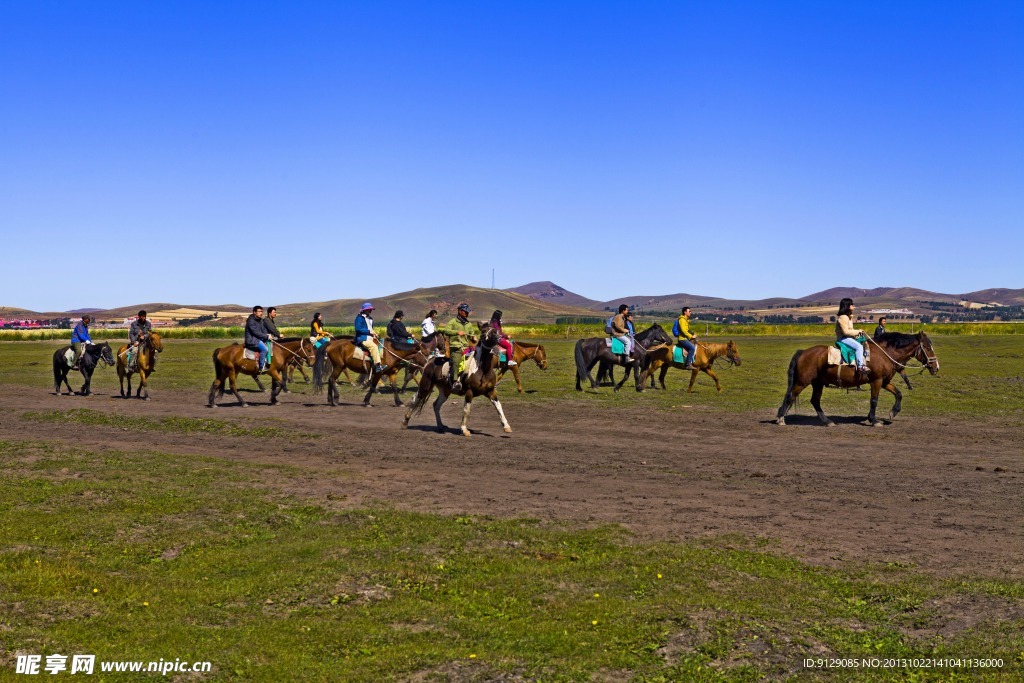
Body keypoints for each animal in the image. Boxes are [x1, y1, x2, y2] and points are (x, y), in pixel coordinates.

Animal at [774, 331, 937, 428]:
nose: (936, 367)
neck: (885, 353)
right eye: (928, 347)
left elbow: (898, 394)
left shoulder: (884, 382)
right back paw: (781, 419)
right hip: (803, 382)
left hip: (817, 383)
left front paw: (892, 413)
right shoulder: (877, 381)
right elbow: (874, 400)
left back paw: (827, 421)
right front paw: (874, 420)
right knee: (790, 396)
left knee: (814, 401)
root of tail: (803, 352)